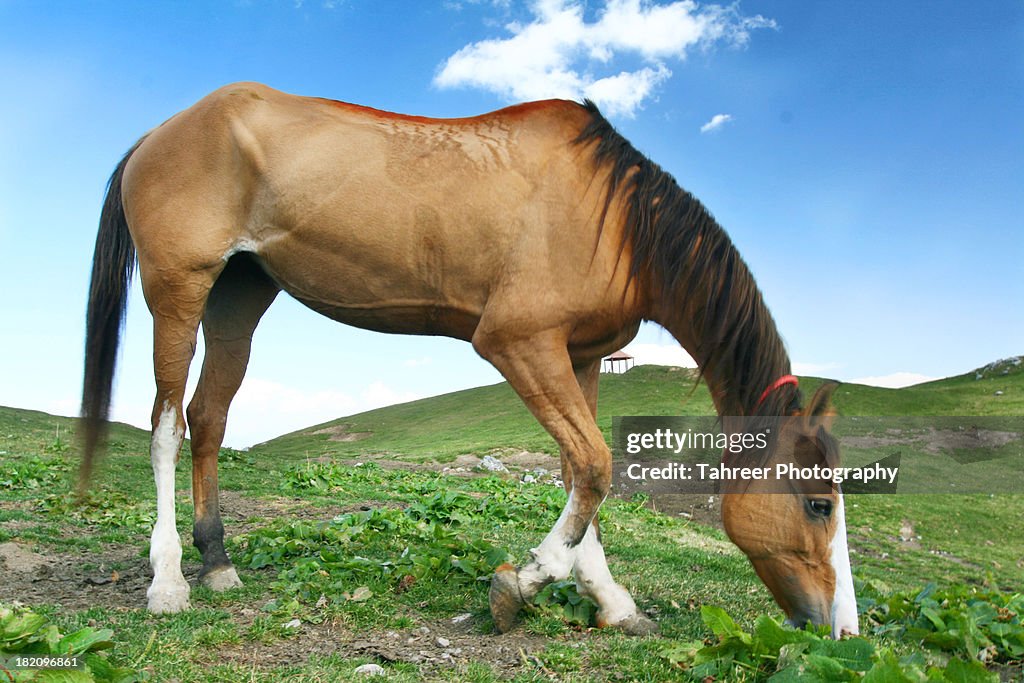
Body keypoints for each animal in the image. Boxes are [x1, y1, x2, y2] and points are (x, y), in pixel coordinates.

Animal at [77, 82, 856, 638]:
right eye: (818, 503)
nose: (840, 629)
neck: (620, 221)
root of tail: (160, 132)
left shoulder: (581, 359)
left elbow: (583, 473)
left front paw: (609, 600)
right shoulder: (518, 343)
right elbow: (595, 467)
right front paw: (525, 581)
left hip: (239, 298)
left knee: (207, 418)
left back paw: (218, 562)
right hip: (179, 290)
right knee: (167, 426)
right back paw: (169, 580)